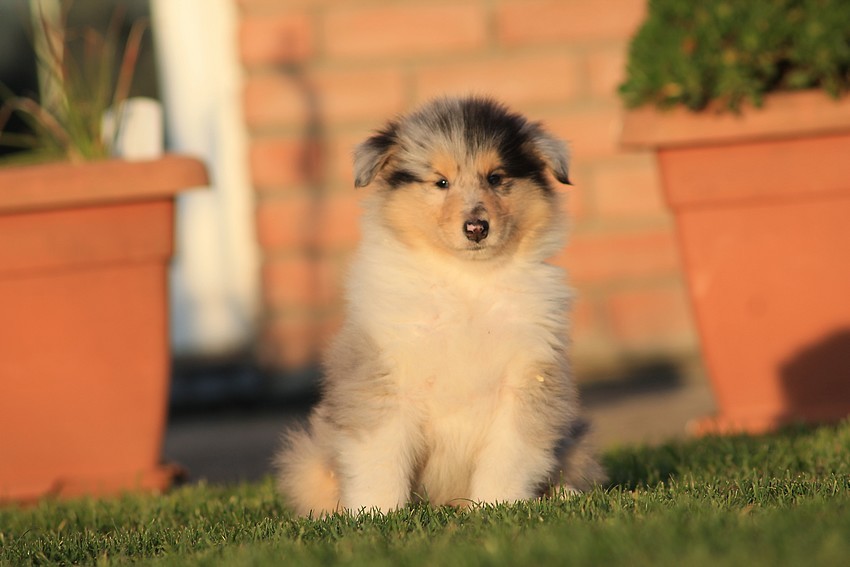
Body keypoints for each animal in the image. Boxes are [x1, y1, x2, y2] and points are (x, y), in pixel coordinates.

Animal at [276, 97, 604, 520]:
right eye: (441, 182)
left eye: (496, 178)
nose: (477, 227)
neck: (466, 281)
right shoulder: (384, 380)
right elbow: (380, 458)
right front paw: (375, 514)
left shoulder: (528, 380)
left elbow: (509, 455)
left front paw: (499, 506)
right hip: (311, 461)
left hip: (575, 441)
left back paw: (562, 495)